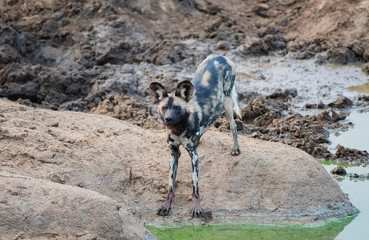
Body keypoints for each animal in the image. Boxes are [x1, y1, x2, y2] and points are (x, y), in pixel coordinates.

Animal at [150, 54, 242, 218]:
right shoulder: (174, 153)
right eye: (164, 107)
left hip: (227, 102)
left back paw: (235, 149)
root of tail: (221, 56)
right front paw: (166, 206)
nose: (168, 119)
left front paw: (197, 209)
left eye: (177, 107)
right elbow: (170, 186)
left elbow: (195, 188)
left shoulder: (194, 156)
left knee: (233, 125)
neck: (178, 129)